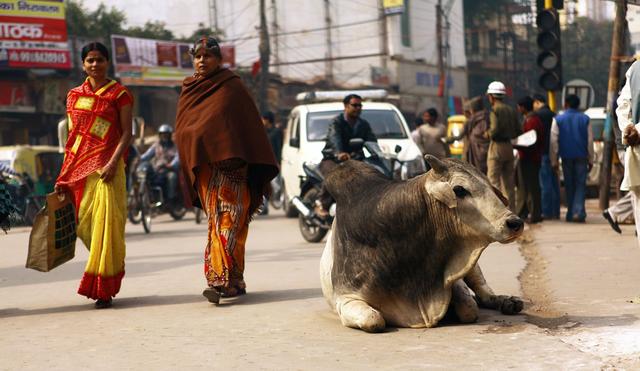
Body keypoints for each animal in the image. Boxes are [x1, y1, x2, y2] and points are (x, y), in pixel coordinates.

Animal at [320, 155, 524, 332]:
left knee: (483, 293)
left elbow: (468, 307)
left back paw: (508, 302)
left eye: (489, 186)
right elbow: (374, 319)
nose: (515, 223)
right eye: (459, 189)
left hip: (473, 268)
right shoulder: (346, 297)